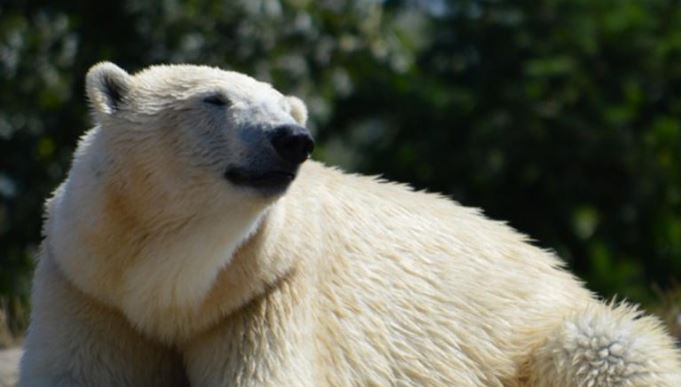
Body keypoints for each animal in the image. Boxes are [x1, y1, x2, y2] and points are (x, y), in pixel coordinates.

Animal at [18, 62, 676, 386]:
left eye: (284, 107)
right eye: (215, 99)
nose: (292, 139)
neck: (172, 286)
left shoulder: (265, 292)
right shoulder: (91, 284)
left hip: (555, 335)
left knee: (609, 346)